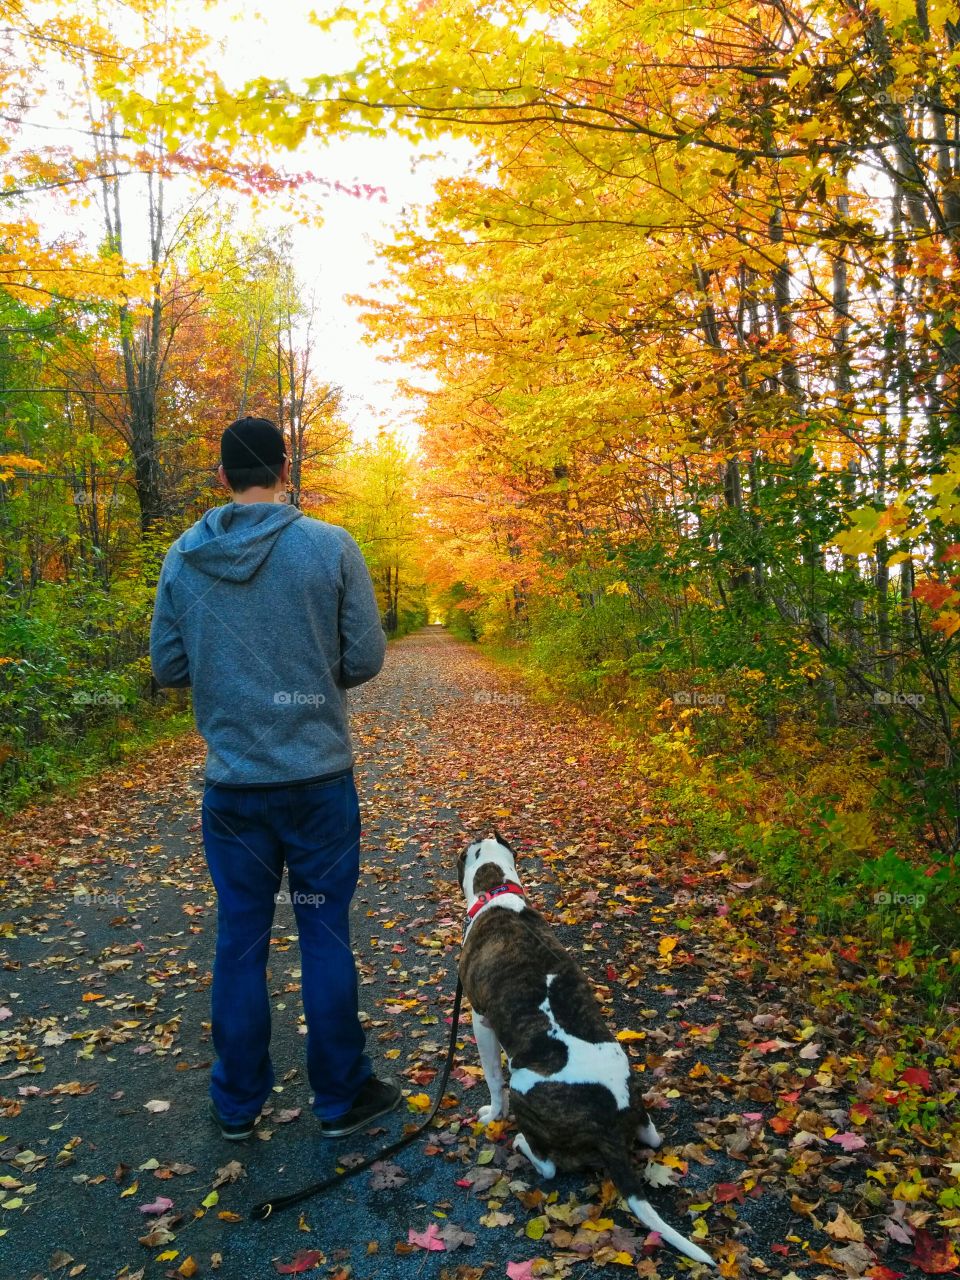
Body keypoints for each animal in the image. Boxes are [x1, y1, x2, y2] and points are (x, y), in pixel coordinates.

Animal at [460, 834, 721, 1264]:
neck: (498, 892)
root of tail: (610, 1124)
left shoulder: (481, 1020)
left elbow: (492, 1078)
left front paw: (491, 1115)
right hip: (638, 1106)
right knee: (653, 1137)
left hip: (524, 1086)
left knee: (548, 1165)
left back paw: (521, 1142)